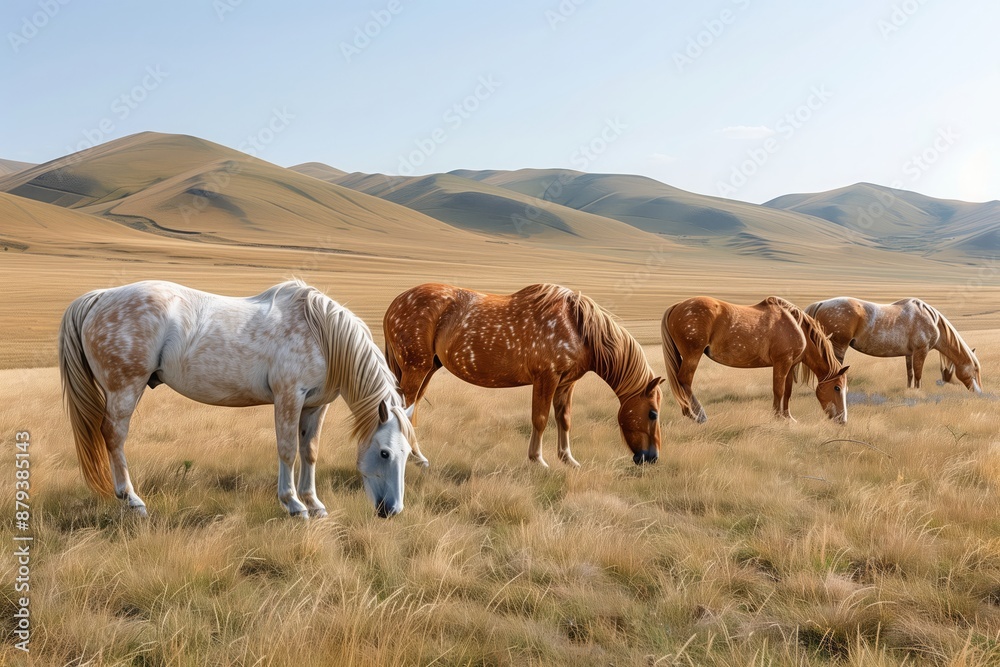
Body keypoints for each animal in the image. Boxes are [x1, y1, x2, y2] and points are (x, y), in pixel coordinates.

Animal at [58, 280, 416, 519]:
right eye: (384, 453)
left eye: (408, 454)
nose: (393, 510)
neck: (322, 334)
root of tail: (100, 297)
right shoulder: (289, 397)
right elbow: (288, 450)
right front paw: (294, 504)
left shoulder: (315, 405)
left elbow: (309, 452)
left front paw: (314, 503)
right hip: (125, 388)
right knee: (114, 436)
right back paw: (132, 500)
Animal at [383, 283, 664, 467]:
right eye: (653, 413)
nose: (651, 458)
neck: (577, 327)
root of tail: (395, 303)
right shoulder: (546, 378)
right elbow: (540, 419)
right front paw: (538, 460)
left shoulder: (566, 383)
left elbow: (564, 419)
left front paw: (568, 459)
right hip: (416, 368)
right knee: (405, 408)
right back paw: (414, 457)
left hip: (427, 369)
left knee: (412, 410)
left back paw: (415, 456)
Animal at [661, 296, 849, 423]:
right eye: (837, 388)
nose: (842, 420)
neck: (796, 327)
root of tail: (677, 306)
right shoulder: (782, 363)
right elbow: (778, 390)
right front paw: (777, 417)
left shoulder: (790, 365)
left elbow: (787, 392)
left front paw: (788, 418)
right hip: (693, 354)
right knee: (684, 380)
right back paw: (697, 416)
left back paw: (689, 414)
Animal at [804, 297, 982, 393]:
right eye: (975, 370)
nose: (979, 392)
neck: (933, 322)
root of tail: (821, 303)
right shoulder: (921, 351)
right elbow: (918, 374)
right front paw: (918, 392)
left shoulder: (909, 354)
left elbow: (910, 373)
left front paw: (909, 390)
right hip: (838, 346)